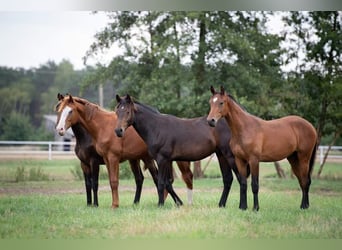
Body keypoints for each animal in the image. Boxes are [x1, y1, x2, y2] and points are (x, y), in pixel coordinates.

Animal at [53, 93, 192, 207]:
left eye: (70, 111)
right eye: (58, 110)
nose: (60, 129)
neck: (101, 127)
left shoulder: (103, 160)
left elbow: (105, 182)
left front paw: (108, 205)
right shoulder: (90, 162)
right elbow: (91, 183)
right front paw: (90, 205)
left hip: (151, 159)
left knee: (161, 179)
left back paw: (174, 202)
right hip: (137, 159)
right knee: (142, 179)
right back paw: (137, 203)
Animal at [113, 94, 242, 207]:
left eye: (127, 112)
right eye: (117, 111)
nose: (118, 131)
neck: (157, 128)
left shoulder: (162, 160)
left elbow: (161, 182)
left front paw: (160, 205)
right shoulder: (168, 161)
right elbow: (168, 183)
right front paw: (178, 203)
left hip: (229, 155)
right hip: (221, 155)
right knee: (228, 179)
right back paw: (221, 205)